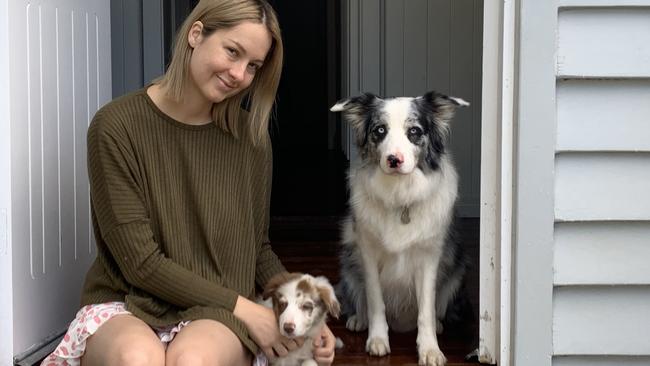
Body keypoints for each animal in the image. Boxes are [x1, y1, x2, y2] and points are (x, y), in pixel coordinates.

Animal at [330, 91, 466, 366]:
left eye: (414, 131)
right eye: (380, 130)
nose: (394, 160)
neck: (400, 194)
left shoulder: (429, 258)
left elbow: (425, 310)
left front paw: (430, 350)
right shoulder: (368, 254)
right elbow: (374, 301)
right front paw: (377, 340)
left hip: (456, 271)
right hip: (349, 260)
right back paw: (359, 319)